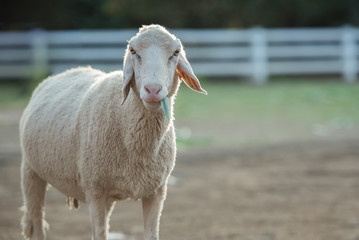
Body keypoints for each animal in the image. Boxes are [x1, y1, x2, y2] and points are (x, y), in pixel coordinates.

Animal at [19, 24, 207, 240]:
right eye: (133, 51)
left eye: (176, 52)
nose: (153, 90)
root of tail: (69, 70)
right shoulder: (95, 190)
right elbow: (99, 233)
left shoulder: (156, 191)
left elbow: (150, 234)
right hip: (31, 171)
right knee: (37, 222)